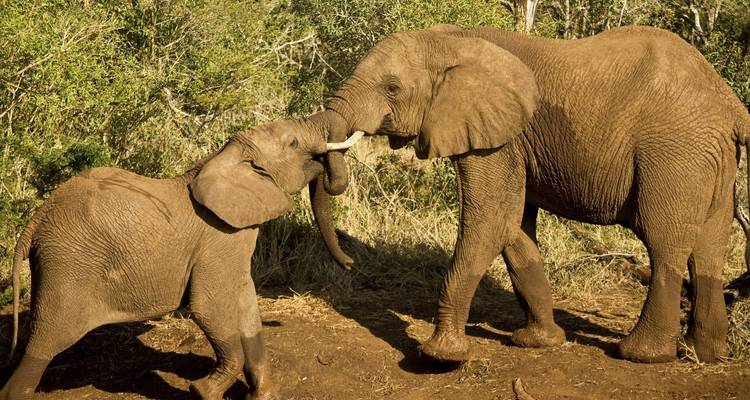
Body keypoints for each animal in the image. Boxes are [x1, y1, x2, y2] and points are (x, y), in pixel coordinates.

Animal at [0, 115, 362, 400]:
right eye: (293, 142)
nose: (350, 264)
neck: (225, 158)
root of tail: (35, 220)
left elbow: (247, 308)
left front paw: (264, 396)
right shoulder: (218, 241)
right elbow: (209, 307)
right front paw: (203, 391)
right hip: (68, 264)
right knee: (45, 342)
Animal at [308, 24, 750, 363]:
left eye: (392, 88)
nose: (350, 264)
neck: (452, 40)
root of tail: (732, 106)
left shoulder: (497, 139)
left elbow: (491, 221)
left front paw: (440, 357)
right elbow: (515, 228)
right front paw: (538, 343)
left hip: (675, 153)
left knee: (664, 243)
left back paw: (641, 355)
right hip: (713, 161)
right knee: (709, 248)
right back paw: (705, 353)